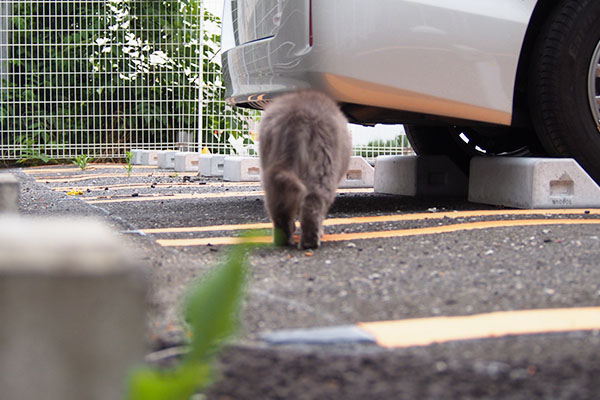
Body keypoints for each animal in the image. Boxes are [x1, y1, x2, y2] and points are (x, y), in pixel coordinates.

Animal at [258, 91, 352, 248]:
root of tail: (296, 114)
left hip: (270, 166)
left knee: (278, 205)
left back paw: (283, 239)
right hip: (323, 163)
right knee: (313, 203)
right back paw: (311, 242)